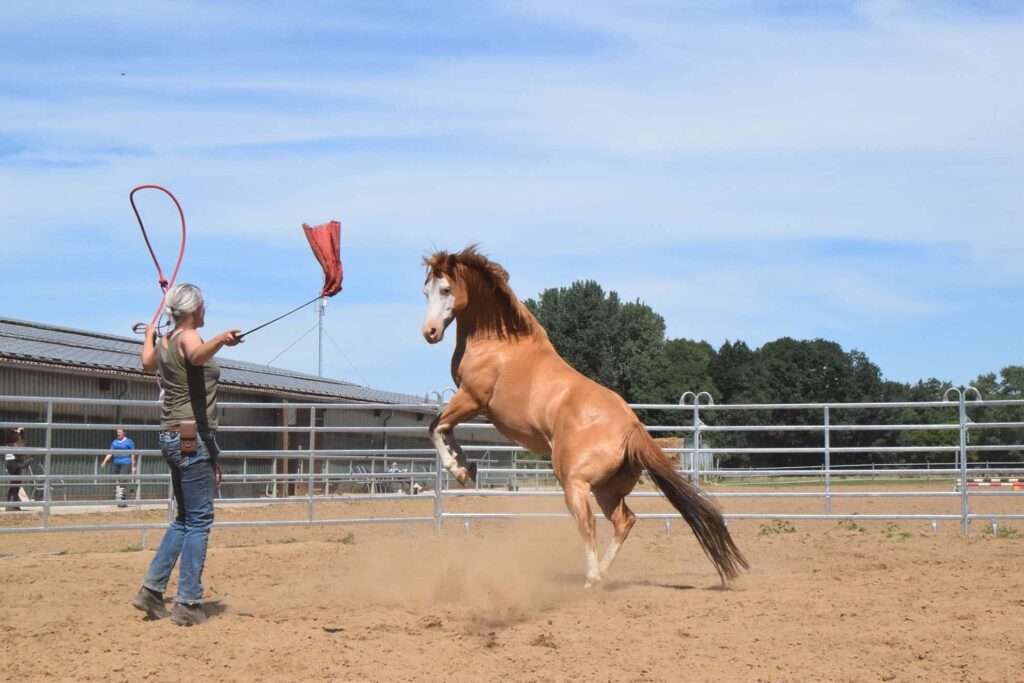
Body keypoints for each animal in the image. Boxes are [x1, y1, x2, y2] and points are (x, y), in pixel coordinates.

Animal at [421, 246, 748, 587]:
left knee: (589, 524)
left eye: (446, 289)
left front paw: (458, 469)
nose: (429, 332)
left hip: (575, 483)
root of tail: (632, 427)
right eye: (426, 290)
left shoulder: (472, 398)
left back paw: (591, 578)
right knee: (624, 521)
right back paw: (601, 573)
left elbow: (436, 427)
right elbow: (444, 428)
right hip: (608, 490)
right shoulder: (471, 403)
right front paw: (467, 467)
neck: (498, 343)